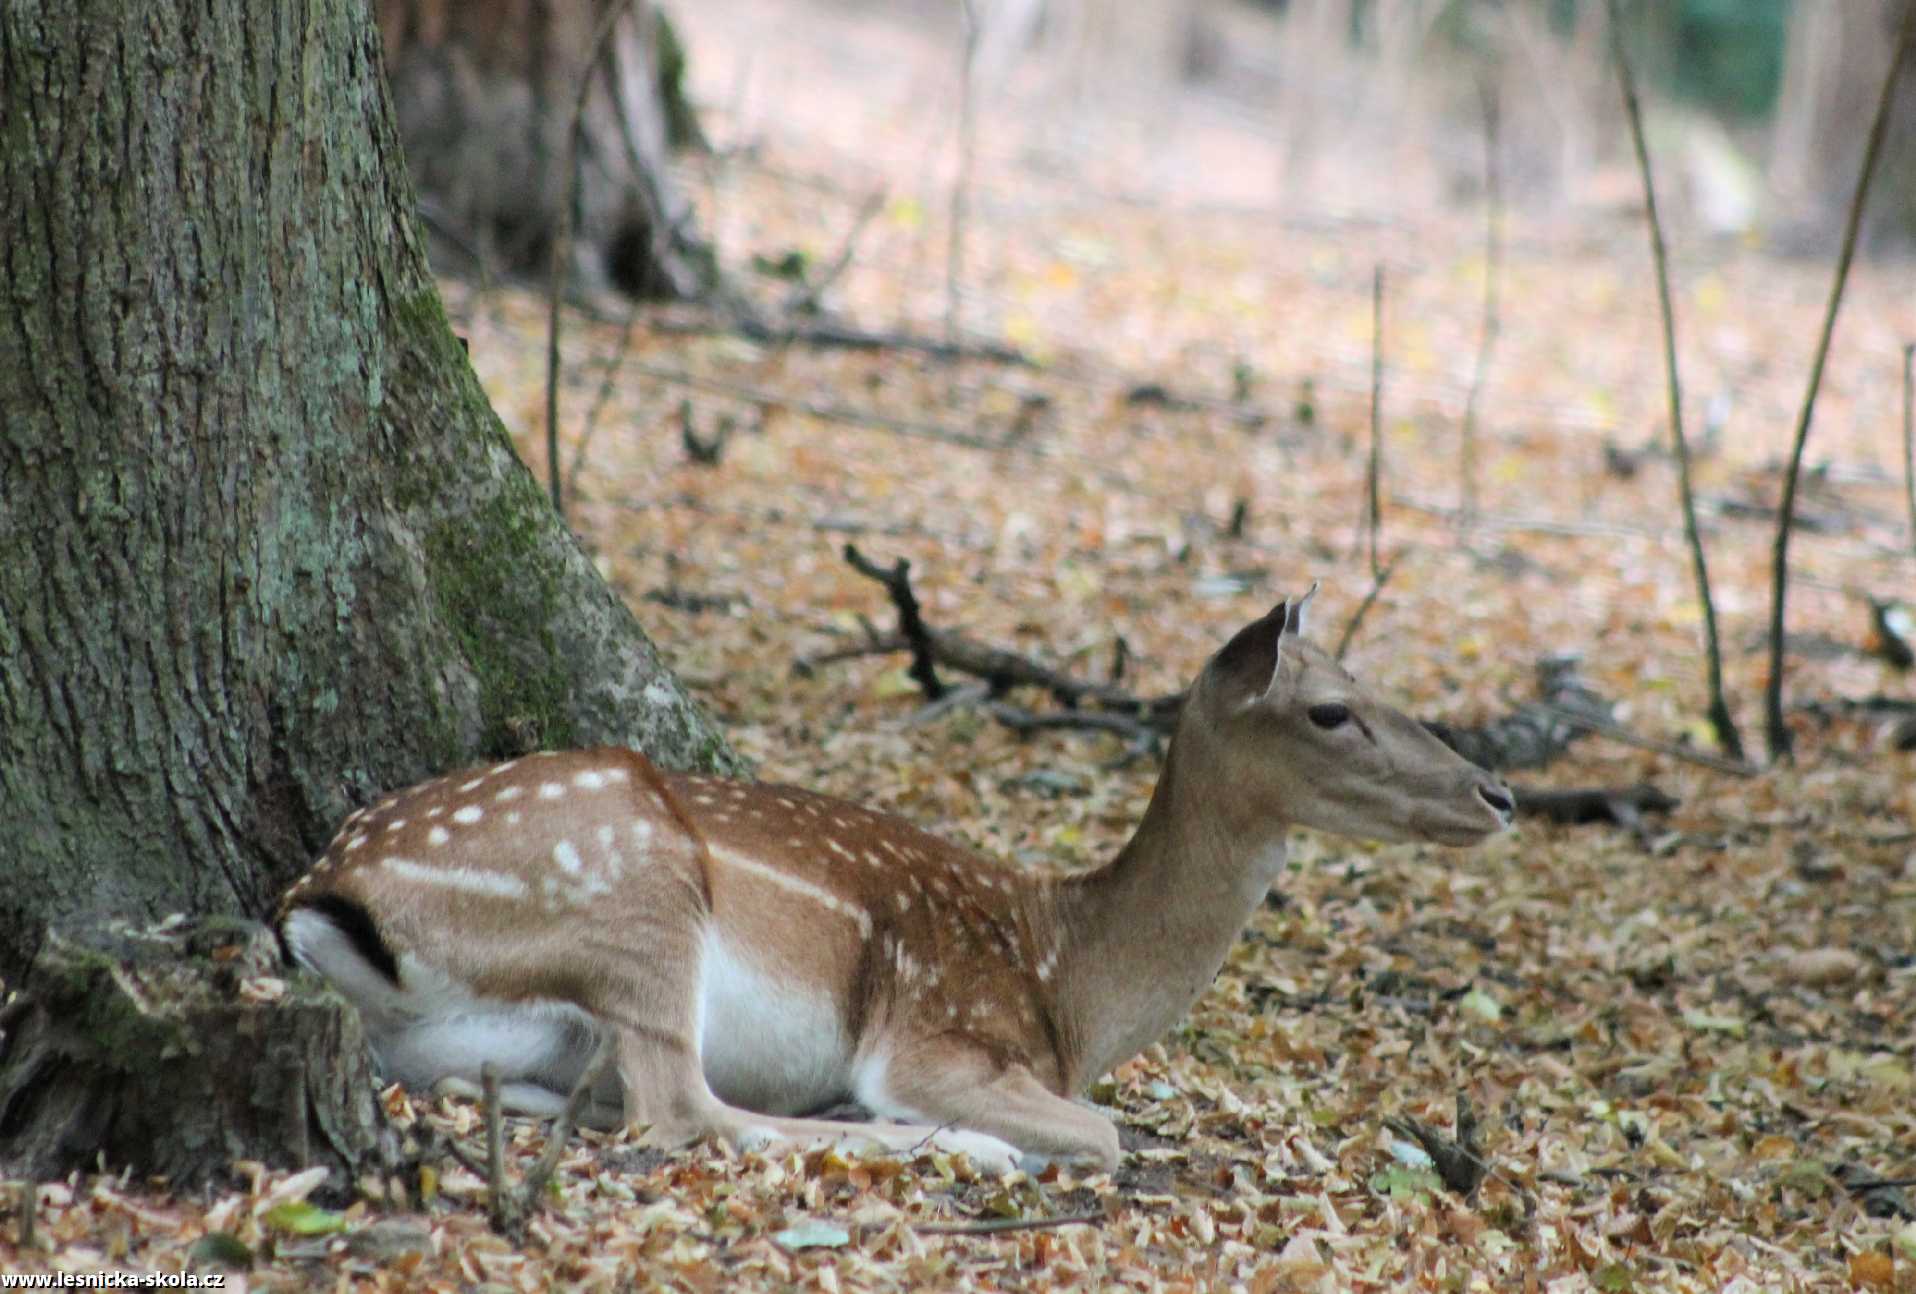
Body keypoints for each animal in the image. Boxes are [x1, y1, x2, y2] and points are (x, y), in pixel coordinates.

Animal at [279, 590, 1509, 1180]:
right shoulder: (937, 1033)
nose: (1496, 793)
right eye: (1330, 710)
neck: (1068, 983)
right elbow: (1104, 1130)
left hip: (493, 1023)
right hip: (637, 896)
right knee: (682, 1111)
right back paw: (956, 1146)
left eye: (1373, 681)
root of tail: (323, 897)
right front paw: (990, 1135)